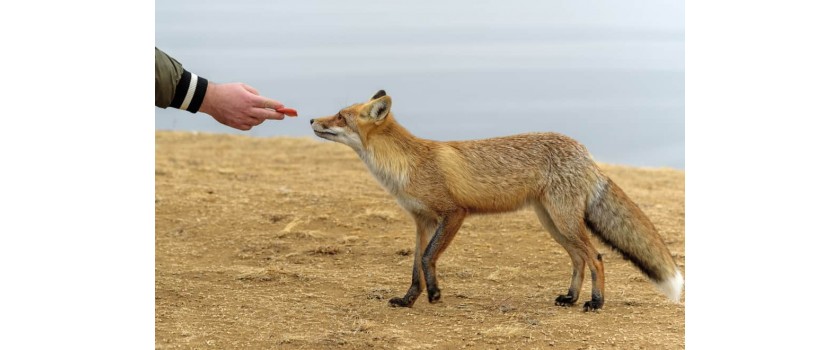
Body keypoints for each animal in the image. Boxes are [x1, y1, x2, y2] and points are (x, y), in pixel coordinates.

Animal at [308, 91, 684, 312]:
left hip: (563, 221)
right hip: (552, 223)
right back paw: (571, 297)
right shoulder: (421, 221)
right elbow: (415, 265)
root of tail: (584, 151)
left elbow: (428, 258)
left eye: (340, 116)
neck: (407, 164)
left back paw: (595, 302)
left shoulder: (453, 213)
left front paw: (435, 294)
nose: (311, 119)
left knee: (597, 257)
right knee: (579, 258)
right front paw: (409, 299)